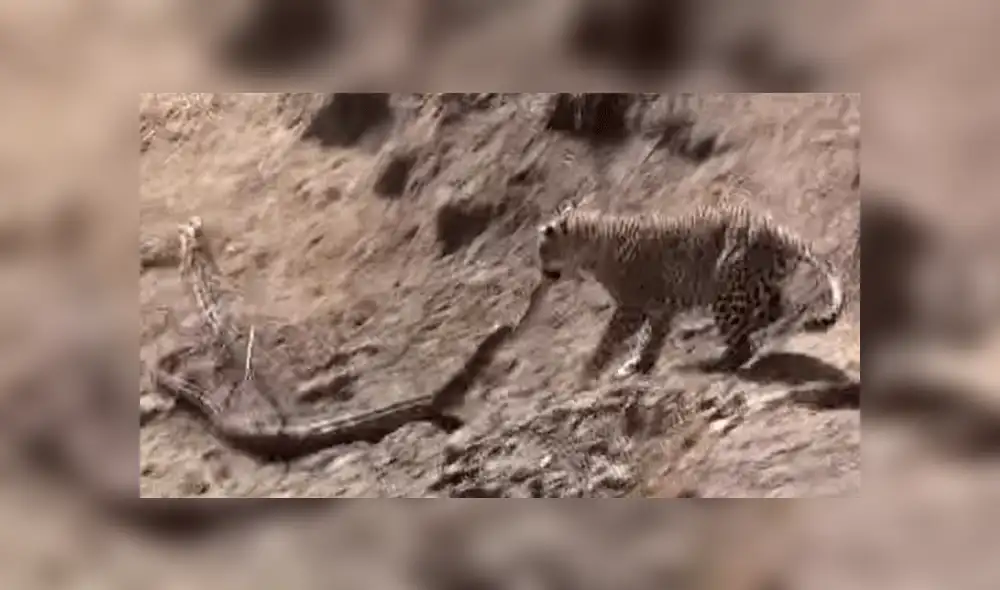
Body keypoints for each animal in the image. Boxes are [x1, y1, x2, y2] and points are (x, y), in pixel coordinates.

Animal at [534, 201, 845, 382]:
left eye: (542, 250)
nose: (541, 273)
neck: (591, 247)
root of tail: (777, 229)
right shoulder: (660, 308)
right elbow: (650, 338)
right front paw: (637, 365)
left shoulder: (632, 307)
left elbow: (610, 338)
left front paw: (590, 370)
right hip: (755, 284)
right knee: (776, 309)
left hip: (726, 290)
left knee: (743, 347)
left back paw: (717, 363)